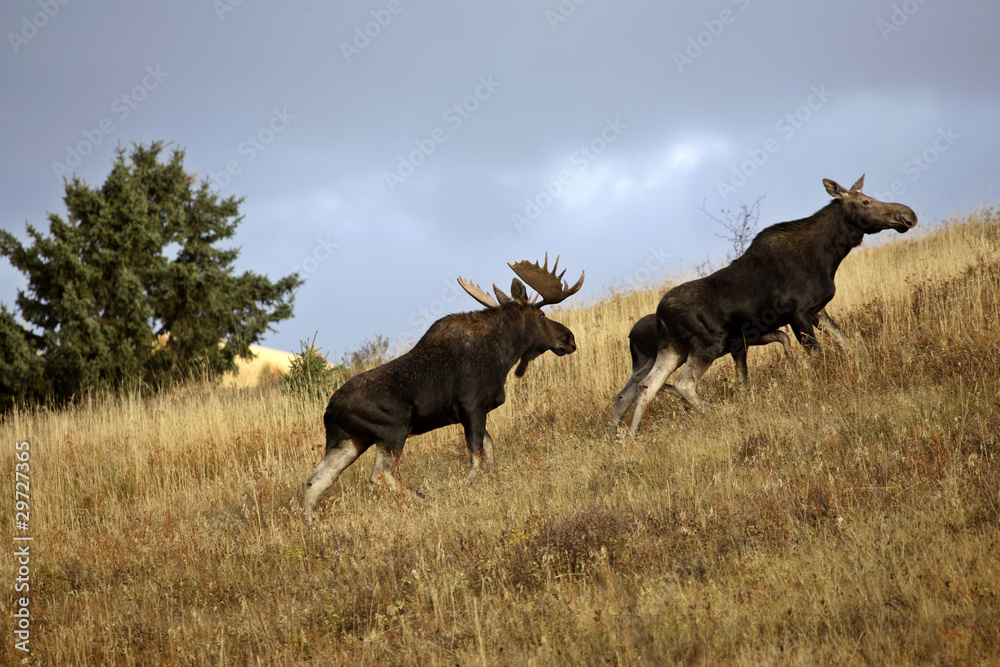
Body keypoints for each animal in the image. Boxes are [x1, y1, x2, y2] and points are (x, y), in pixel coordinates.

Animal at [302, 255, 584, 519]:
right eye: (542, 315)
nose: (569, 338)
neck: (503, 355)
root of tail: (330, 409)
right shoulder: (472, 407)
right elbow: (477, 458)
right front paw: (462, 490)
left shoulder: (471, 413)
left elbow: (489, 451)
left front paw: (496, 485)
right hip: (392, 431)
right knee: (381, 475)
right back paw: (424, 499)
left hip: (350, 440)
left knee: (315, 481)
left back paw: (311, 521)